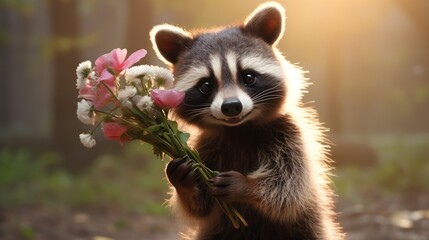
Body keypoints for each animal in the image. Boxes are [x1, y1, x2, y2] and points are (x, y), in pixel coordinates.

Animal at [149, 1, 342, 240]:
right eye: (206, 85)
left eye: (248, 77)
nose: (231, 106)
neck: (238, 129)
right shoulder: (205, 146)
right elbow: (200, 207)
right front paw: (186, 184)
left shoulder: (289, 135)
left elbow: (288, 186)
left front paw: (248, 186)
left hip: (305, 227)